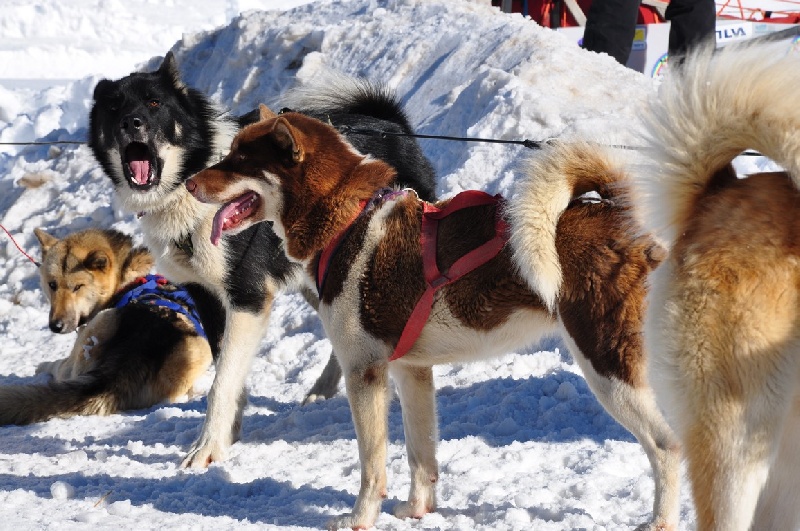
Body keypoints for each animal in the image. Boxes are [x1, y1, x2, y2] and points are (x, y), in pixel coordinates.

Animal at [0, 230, 212, 428]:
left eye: (78, 287)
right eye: (52, 285)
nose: (56, 326)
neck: (124, 280)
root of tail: (135, 348)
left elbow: (55, 364)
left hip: (98, 324)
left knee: (62, 370)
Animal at [89, 54, 438, 468]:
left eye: (154, 103)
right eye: (114, 108)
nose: (132, 123)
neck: (188, 185)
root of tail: (389, 123)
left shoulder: (247, 299)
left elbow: (221, 383)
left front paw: (206, 447)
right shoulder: (207, 298)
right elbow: (229, 374)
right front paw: (227, 437)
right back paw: (323, 389)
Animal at [186, 106, 680, 528]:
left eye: (238, 160)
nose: (189, 183)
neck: (349, 219)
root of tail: (625, 220)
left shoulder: (365, 373)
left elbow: (372, 466)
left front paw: (360, 519)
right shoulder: (412, 371)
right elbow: (421, 456)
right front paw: (416, 511)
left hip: (607, 368)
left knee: (667, 446)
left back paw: (660, 520)